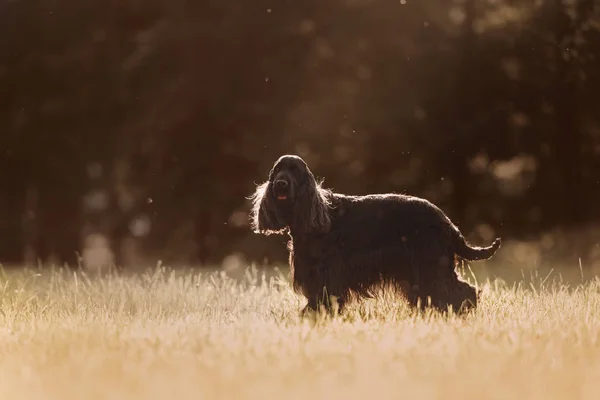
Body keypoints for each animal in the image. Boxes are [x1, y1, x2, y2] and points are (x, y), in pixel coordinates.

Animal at [248, 155, 502, 314]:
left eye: (295, 171)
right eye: (277, 170)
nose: (280, 184)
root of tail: (446, 222)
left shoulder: (326, 272)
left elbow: (323, 297)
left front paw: (314, 315)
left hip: (432, 265)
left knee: (461, 290)